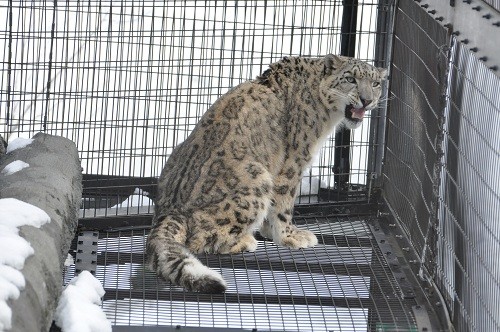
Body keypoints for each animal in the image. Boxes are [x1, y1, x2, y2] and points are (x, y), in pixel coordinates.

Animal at [146, 54, 388, 294]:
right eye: (350, 79)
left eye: (376, 83)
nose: (367, 100)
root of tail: (170, 209)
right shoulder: (294, 163)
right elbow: (283, 205)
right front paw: (291, 236)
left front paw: (270, 230)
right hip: (257, 178)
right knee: (199, 239)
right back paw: (244, 241)